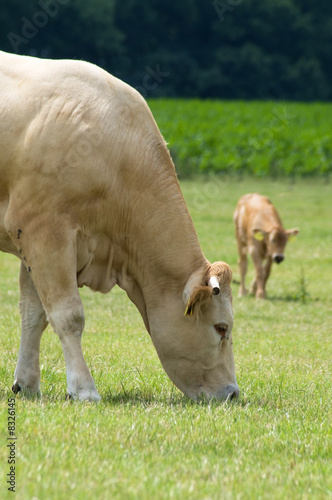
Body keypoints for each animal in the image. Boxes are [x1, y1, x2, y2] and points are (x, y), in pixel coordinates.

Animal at [0, 50, 239, 402]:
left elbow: (34, 315)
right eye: (221, 328)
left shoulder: (33, 244)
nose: (233, 392)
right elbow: (67, 315)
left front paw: (27, 384)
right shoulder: (45, 234)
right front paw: (83, 388)